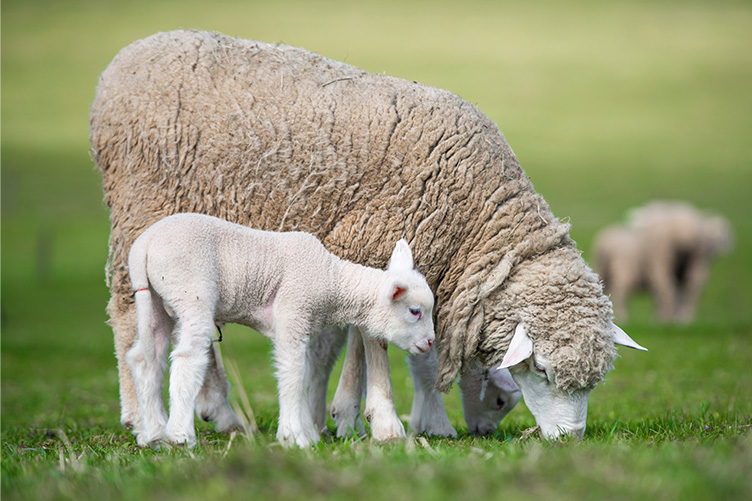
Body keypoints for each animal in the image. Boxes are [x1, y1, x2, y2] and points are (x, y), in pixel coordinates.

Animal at [125, 213, 435, 448]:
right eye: (414, 311)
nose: (431, 342)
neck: (331, 278)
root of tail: (143, 246)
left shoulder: (302, 325)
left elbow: (304, 372)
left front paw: (307, 432)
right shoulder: (292, 313)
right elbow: (292, 374)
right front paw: (294, 436)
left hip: (157, 299)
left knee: (144, 358)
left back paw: (153, 435)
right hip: (191, 290)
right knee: (187, 358)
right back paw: (179, 436)